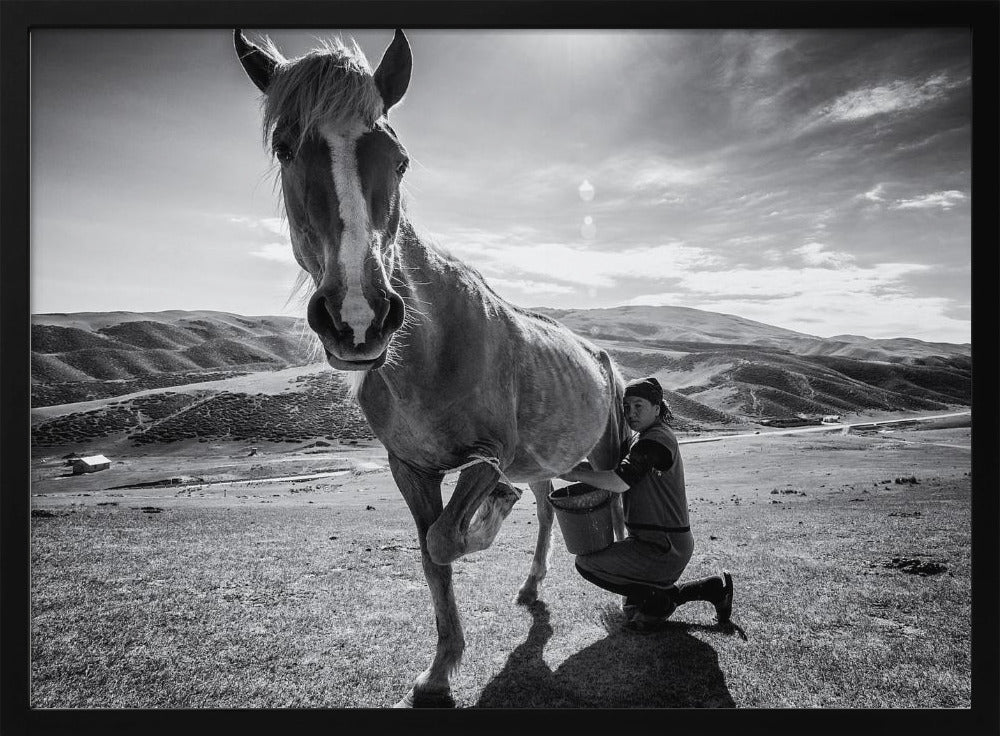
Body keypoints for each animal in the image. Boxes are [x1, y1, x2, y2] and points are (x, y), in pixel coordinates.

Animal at [235, 28, 628, 708]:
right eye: (285, 149)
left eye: (399, 159)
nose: (359, 316)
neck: (430, 352)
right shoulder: (408, 466)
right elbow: (430, 554)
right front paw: (439, 672)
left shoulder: (490, 454)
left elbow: (448, 539)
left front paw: (488, 518)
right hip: (545, 462)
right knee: (549, 506)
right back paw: (531, 584)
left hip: (602, 449)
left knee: (619, 502)